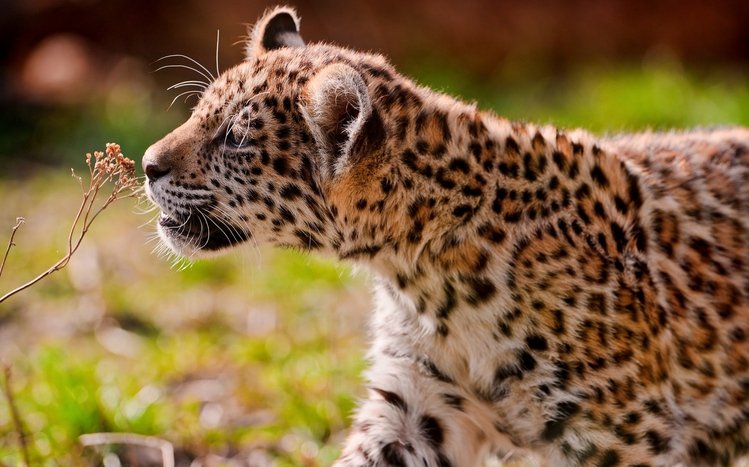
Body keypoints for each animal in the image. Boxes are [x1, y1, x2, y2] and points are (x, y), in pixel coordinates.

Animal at [142, 6, 749, 466]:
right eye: (200, 112)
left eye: (235, 138)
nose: (147, 165)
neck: (430, 273)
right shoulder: (416, 405)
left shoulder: (619, 434)